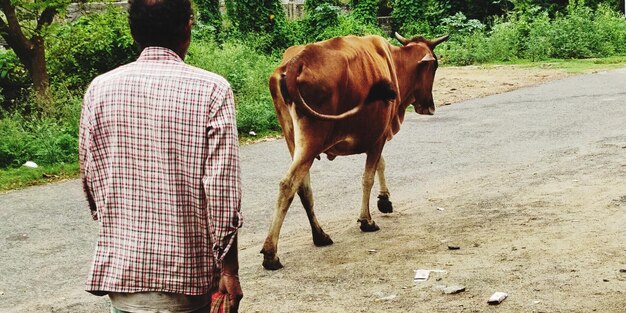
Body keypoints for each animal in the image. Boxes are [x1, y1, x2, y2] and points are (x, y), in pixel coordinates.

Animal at [260, 33, 446, 268]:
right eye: (434, 66)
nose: (429, 107)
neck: (395, 62)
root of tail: (296, 63)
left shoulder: (377, 133)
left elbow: (380, 165)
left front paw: (384, 200)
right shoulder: (379, 136)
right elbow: (368, 177)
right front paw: (367, 220)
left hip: (293, 140)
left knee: (303, 188)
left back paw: (320, 235)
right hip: (312, 140)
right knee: (288, 184)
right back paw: (271, 253)